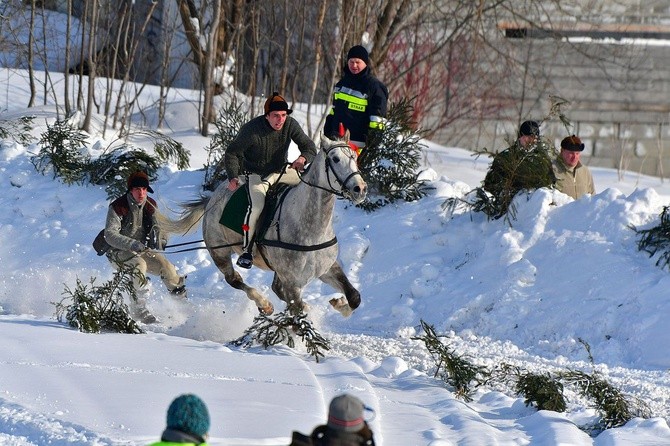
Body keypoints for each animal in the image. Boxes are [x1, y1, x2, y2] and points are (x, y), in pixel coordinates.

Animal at [165, 136, 370, 318]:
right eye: (335, 158)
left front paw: (339, 303)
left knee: (274, 287)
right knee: (234, 279)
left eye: (354, 157)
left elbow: (354, 297)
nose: (360, 188)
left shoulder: (327, 269)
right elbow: (298, 314)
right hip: (219, 252)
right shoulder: (292, 283)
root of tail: (212, 199)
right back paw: (264, 304)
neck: (311, 229)